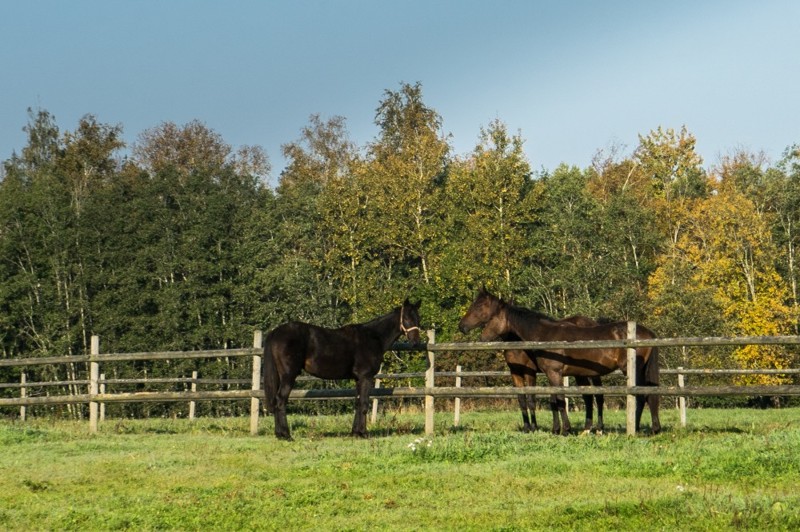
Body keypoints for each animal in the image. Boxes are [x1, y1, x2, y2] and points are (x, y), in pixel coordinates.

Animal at [264, 300, 424, 440]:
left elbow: (358, 403)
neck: (373, 337)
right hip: (289, 376)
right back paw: (286, 435)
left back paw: (279, 434)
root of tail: (275, 332)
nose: (416, 342)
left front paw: (355, 433)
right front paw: (364, 433)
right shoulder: (366, 377)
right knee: (280, 400)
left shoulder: (358, 379)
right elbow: (364, 404)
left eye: (418, 318)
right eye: (406, 318)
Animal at [460, 288, 660, 434]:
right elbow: (552, 401)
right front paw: (555, 429)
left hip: (629, 370)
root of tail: (648, 333)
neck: (544, 335)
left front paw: (565, 429)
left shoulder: (552, 373)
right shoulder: (544, 374)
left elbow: (560, 400)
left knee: (637, 396)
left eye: (481, 308)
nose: (463, 327)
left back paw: (632, 428)